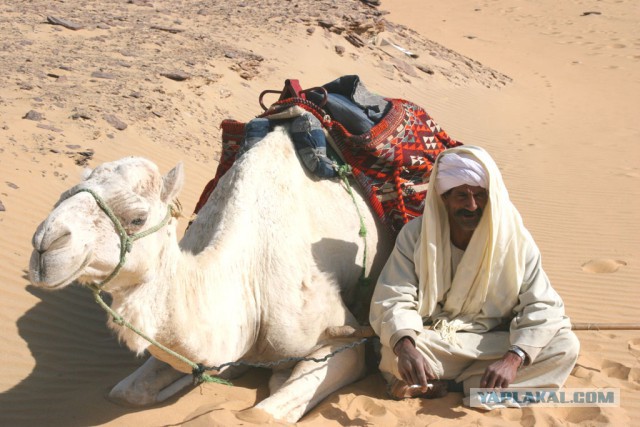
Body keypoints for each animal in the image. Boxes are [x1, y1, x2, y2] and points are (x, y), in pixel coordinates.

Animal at [28, 126, 390, 422]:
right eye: (63, 196)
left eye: (137, 218)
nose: (44, 246)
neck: (250, 283)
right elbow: (127, 392)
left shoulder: (342, 337)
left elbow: (260, 415)